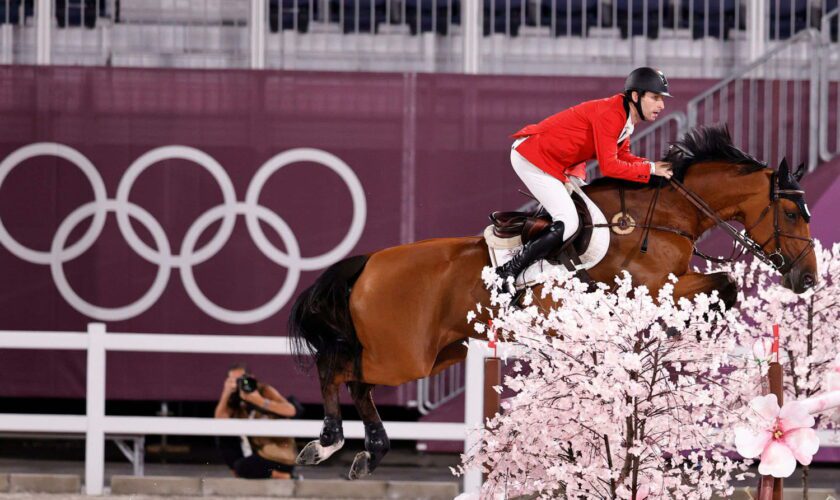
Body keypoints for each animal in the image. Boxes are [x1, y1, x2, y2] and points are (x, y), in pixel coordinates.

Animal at [288, 125, 812, 476]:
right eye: (790, 212)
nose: (807, 278)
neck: (664, 217)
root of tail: (367, 264)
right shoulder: (648, 287)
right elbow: (722, 285)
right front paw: (686, 329)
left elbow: (724, 285)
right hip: (404, 357)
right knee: (338, 369)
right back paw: (327, 443)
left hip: (437, 353)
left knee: (358, 383)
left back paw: (370, 450)